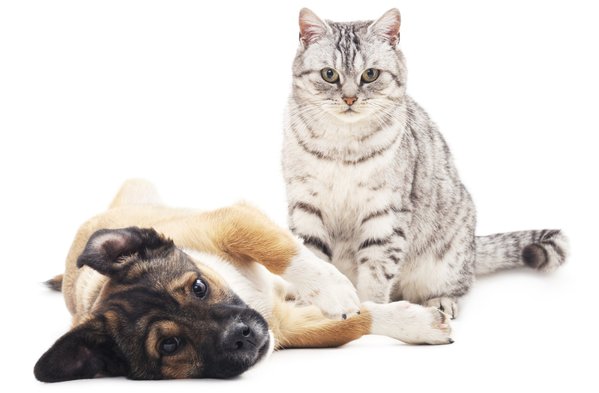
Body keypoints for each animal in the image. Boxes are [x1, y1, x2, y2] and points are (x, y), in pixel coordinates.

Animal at [35, 180, 452, 380]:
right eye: (170, 345)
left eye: (199, 287)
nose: (241, 335)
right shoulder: (287, 326)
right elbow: (358, 321)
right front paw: (417, 323)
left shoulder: (234, 222)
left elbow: (283, 251)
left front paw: (333, 288)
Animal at [284, 7, 568, 316]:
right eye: (329, 74)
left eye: (370, 75)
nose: (349, 98)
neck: (342, 146)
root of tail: (473, 246)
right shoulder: (306, 207)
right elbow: (314, 262)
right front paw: (313, 308)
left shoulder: (386, 213)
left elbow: (376, 274)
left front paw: (371, 314)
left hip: (449, 255)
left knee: (460, 283)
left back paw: (441, 301)